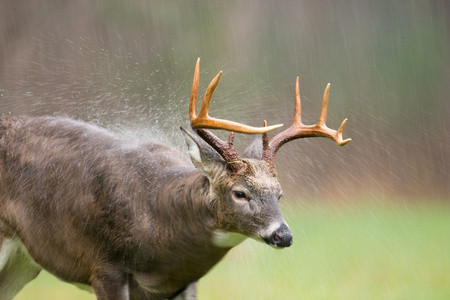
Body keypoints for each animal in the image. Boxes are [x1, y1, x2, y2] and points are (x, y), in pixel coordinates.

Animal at [0, 58, 350, 300]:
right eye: (239, 193)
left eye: (280, 194)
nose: (283, 235)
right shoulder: (104, 266)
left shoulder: (183, 282)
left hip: (24, 261)